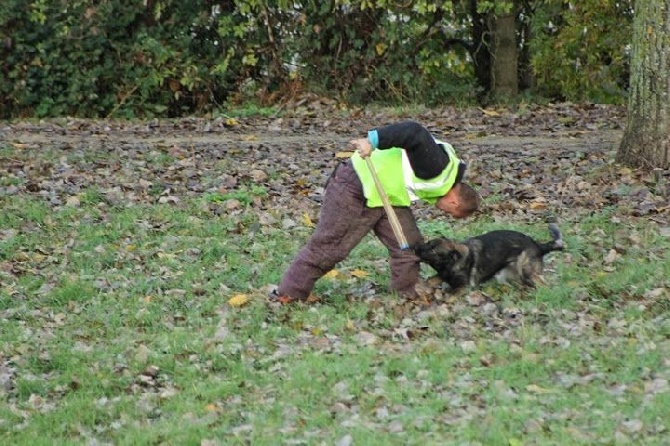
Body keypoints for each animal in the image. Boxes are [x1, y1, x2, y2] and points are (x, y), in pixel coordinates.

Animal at [418, 223, 564, 290]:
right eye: (428, 243)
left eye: (433, 250)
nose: (415, 247)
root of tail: (537, 245)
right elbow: (433, 279)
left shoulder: (465, 286)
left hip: (526, 269)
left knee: (543, 284)